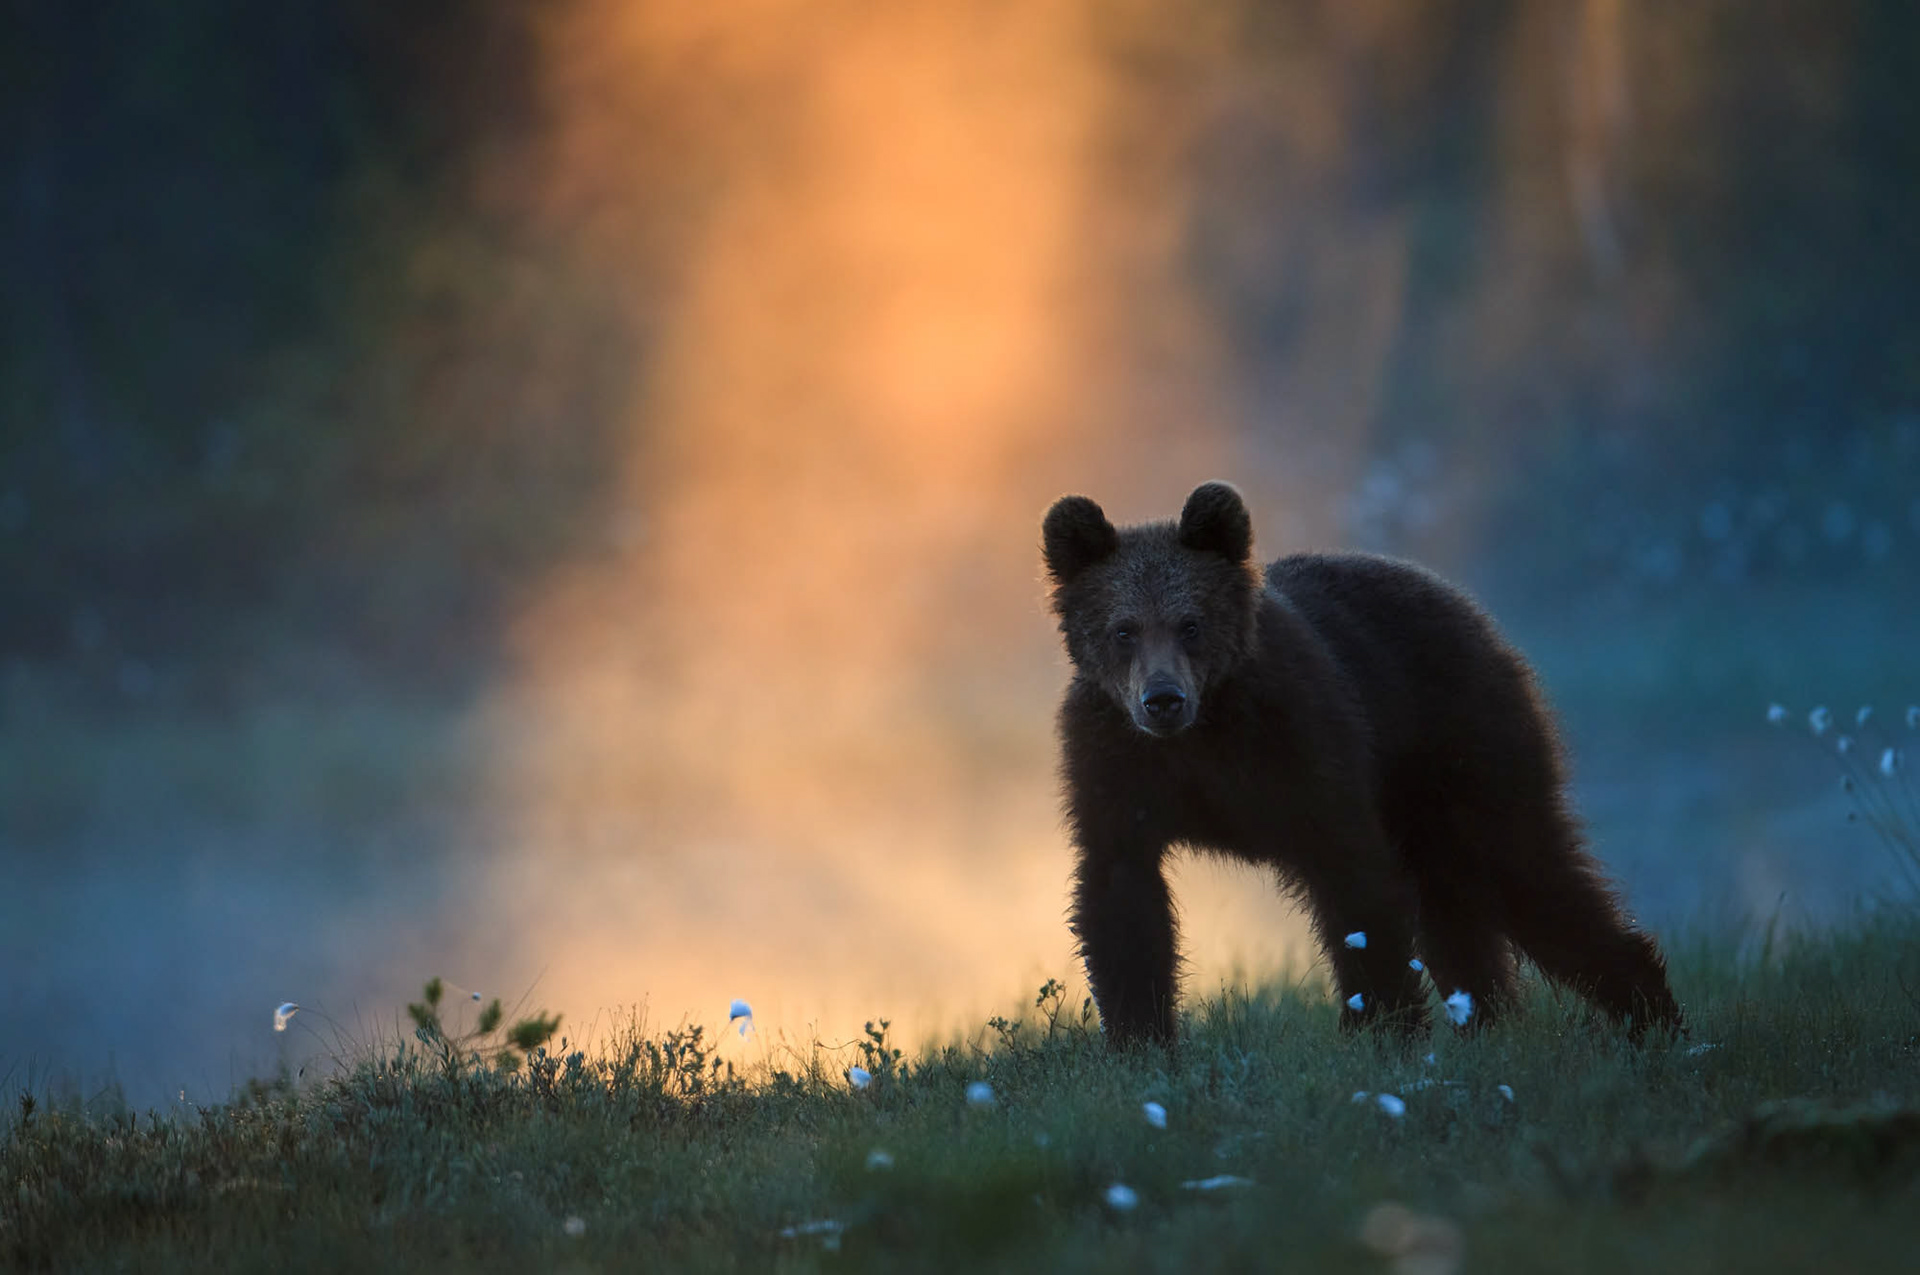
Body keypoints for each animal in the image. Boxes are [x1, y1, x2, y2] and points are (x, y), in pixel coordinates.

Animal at [1042, 480, 1681, 1047]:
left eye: (1190, 623)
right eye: (1123, 629)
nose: (1163, 699)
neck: (1204, 732)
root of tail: (1462, 602)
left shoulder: (1301, 745)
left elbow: (1354, 884)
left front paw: (1380, 1027)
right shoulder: (1118, 767)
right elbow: (1122, 899)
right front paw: (1141, 1041)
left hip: (1459, 743)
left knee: (1526, 869)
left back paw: (1651, 1014)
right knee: (1458, 911)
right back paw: (1488, 1020)